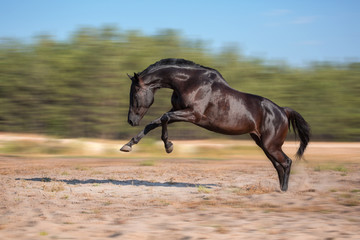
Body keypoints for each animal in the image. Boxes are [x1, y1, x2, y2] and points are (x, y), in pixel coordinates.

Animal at [120, 58, 310, 191]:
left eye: (135, 92)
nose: (131, 120)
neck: (189, 82)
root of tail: (283, 111)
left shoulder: (193, 115)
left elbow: (163, 118)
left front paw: (168, 146)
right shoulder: (178, 110)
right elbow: (154, 123)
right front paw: (128, 145)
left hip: (271, 145)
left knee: (287, 162)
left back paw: (284, 191)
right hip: (263, 144)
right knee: (279, 165)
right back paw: (280, 190)